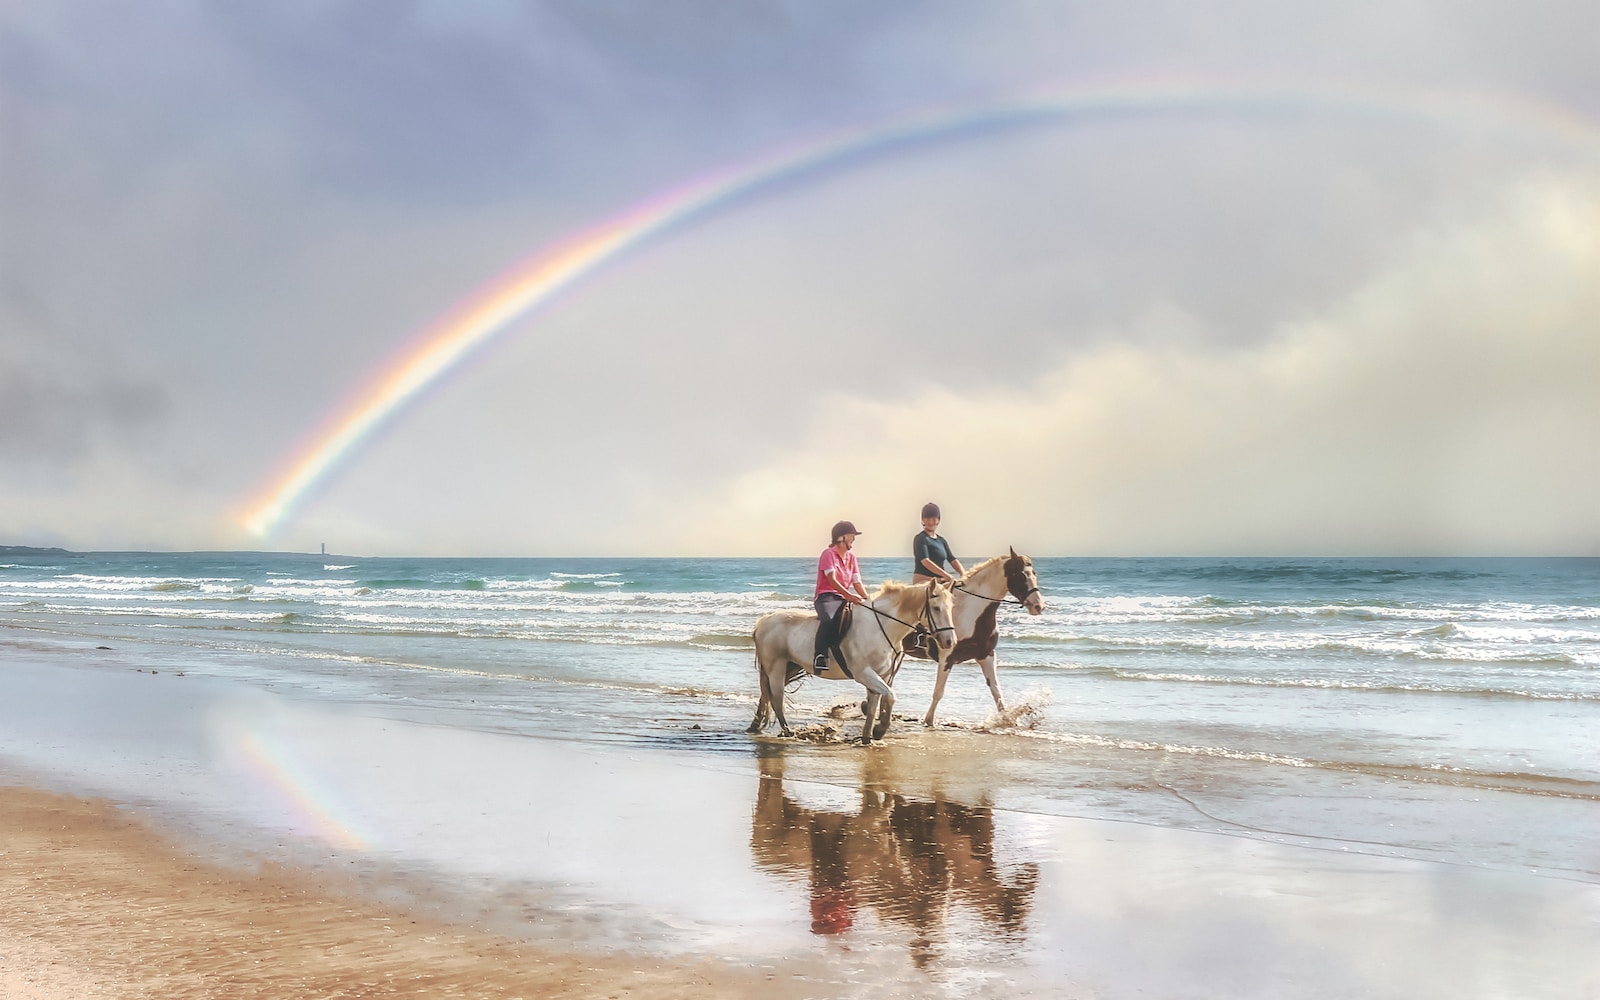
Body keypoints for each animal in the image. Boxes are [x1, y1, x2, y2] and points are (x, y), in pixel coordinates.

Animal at [745, 576, 953, 742]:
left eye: (951, 607)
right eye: (936, 608)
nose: (950, 641)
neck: (881, 626)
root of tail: (764, 621)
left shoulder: (881, 675)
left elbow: (874, 706)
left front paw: (869, 737)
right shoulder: (864, 674)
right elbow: (891, 697)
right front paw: (880, 730)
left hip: (789, 665)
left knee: (767, 696)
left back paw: (757, 726)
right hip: (776, 667)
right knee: (777, 699)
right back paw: (788, 733)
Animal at [915, 547, 1049, 726]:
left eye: (1034, 573)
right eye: (1019, 575)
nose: (1038, 606)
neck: (971, 612)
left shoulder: (987, 655)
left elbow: (996, 691)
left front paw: (1007, 719)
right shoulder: (946, 657)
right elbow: (938, 691)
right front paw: (929, 721)